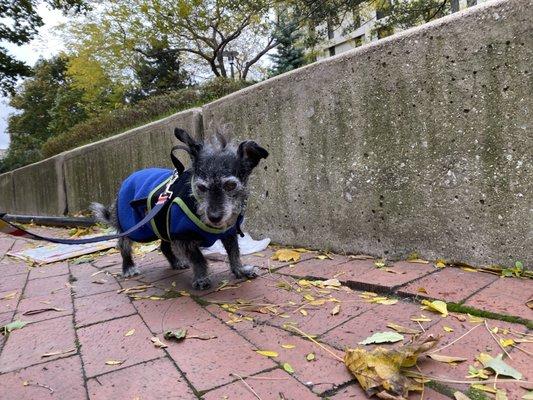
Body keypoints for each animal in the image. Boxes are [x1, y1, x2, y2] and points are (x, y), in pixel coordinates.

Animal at [90, 126, 270, 290]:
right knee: (123, 243)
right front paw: (201, 278)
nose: (214, 217)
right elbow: (199, 259)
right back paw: (128, 267)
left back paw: (176, 262)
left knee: (163, 246)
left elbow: (234, 253)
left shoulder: (229, 233)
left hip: (161, 225)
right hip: (135, 228)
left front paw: (240, 270)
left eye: (231, 185)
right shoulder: (183, 238)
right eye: (201, 188)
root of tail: (127, 179)